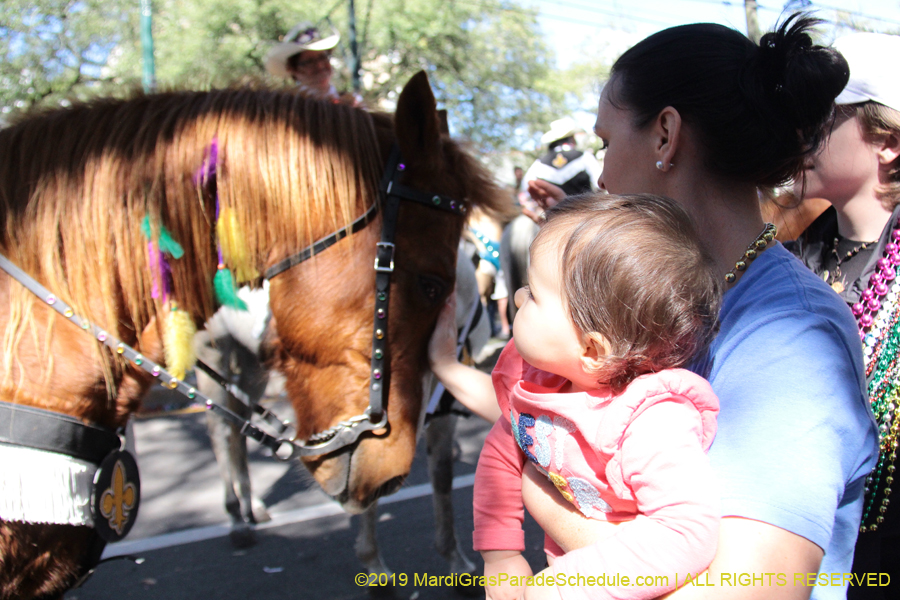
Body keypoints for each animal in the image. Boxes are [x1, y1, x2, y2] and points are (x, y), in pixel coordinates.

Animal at [0, 72, 506, 596]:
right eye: (430, 284)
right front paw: (376, 567)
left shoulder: (441, 410)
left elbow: (442, 478)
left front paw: (455, 561)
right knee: (225, 432)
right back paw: (237, 517)